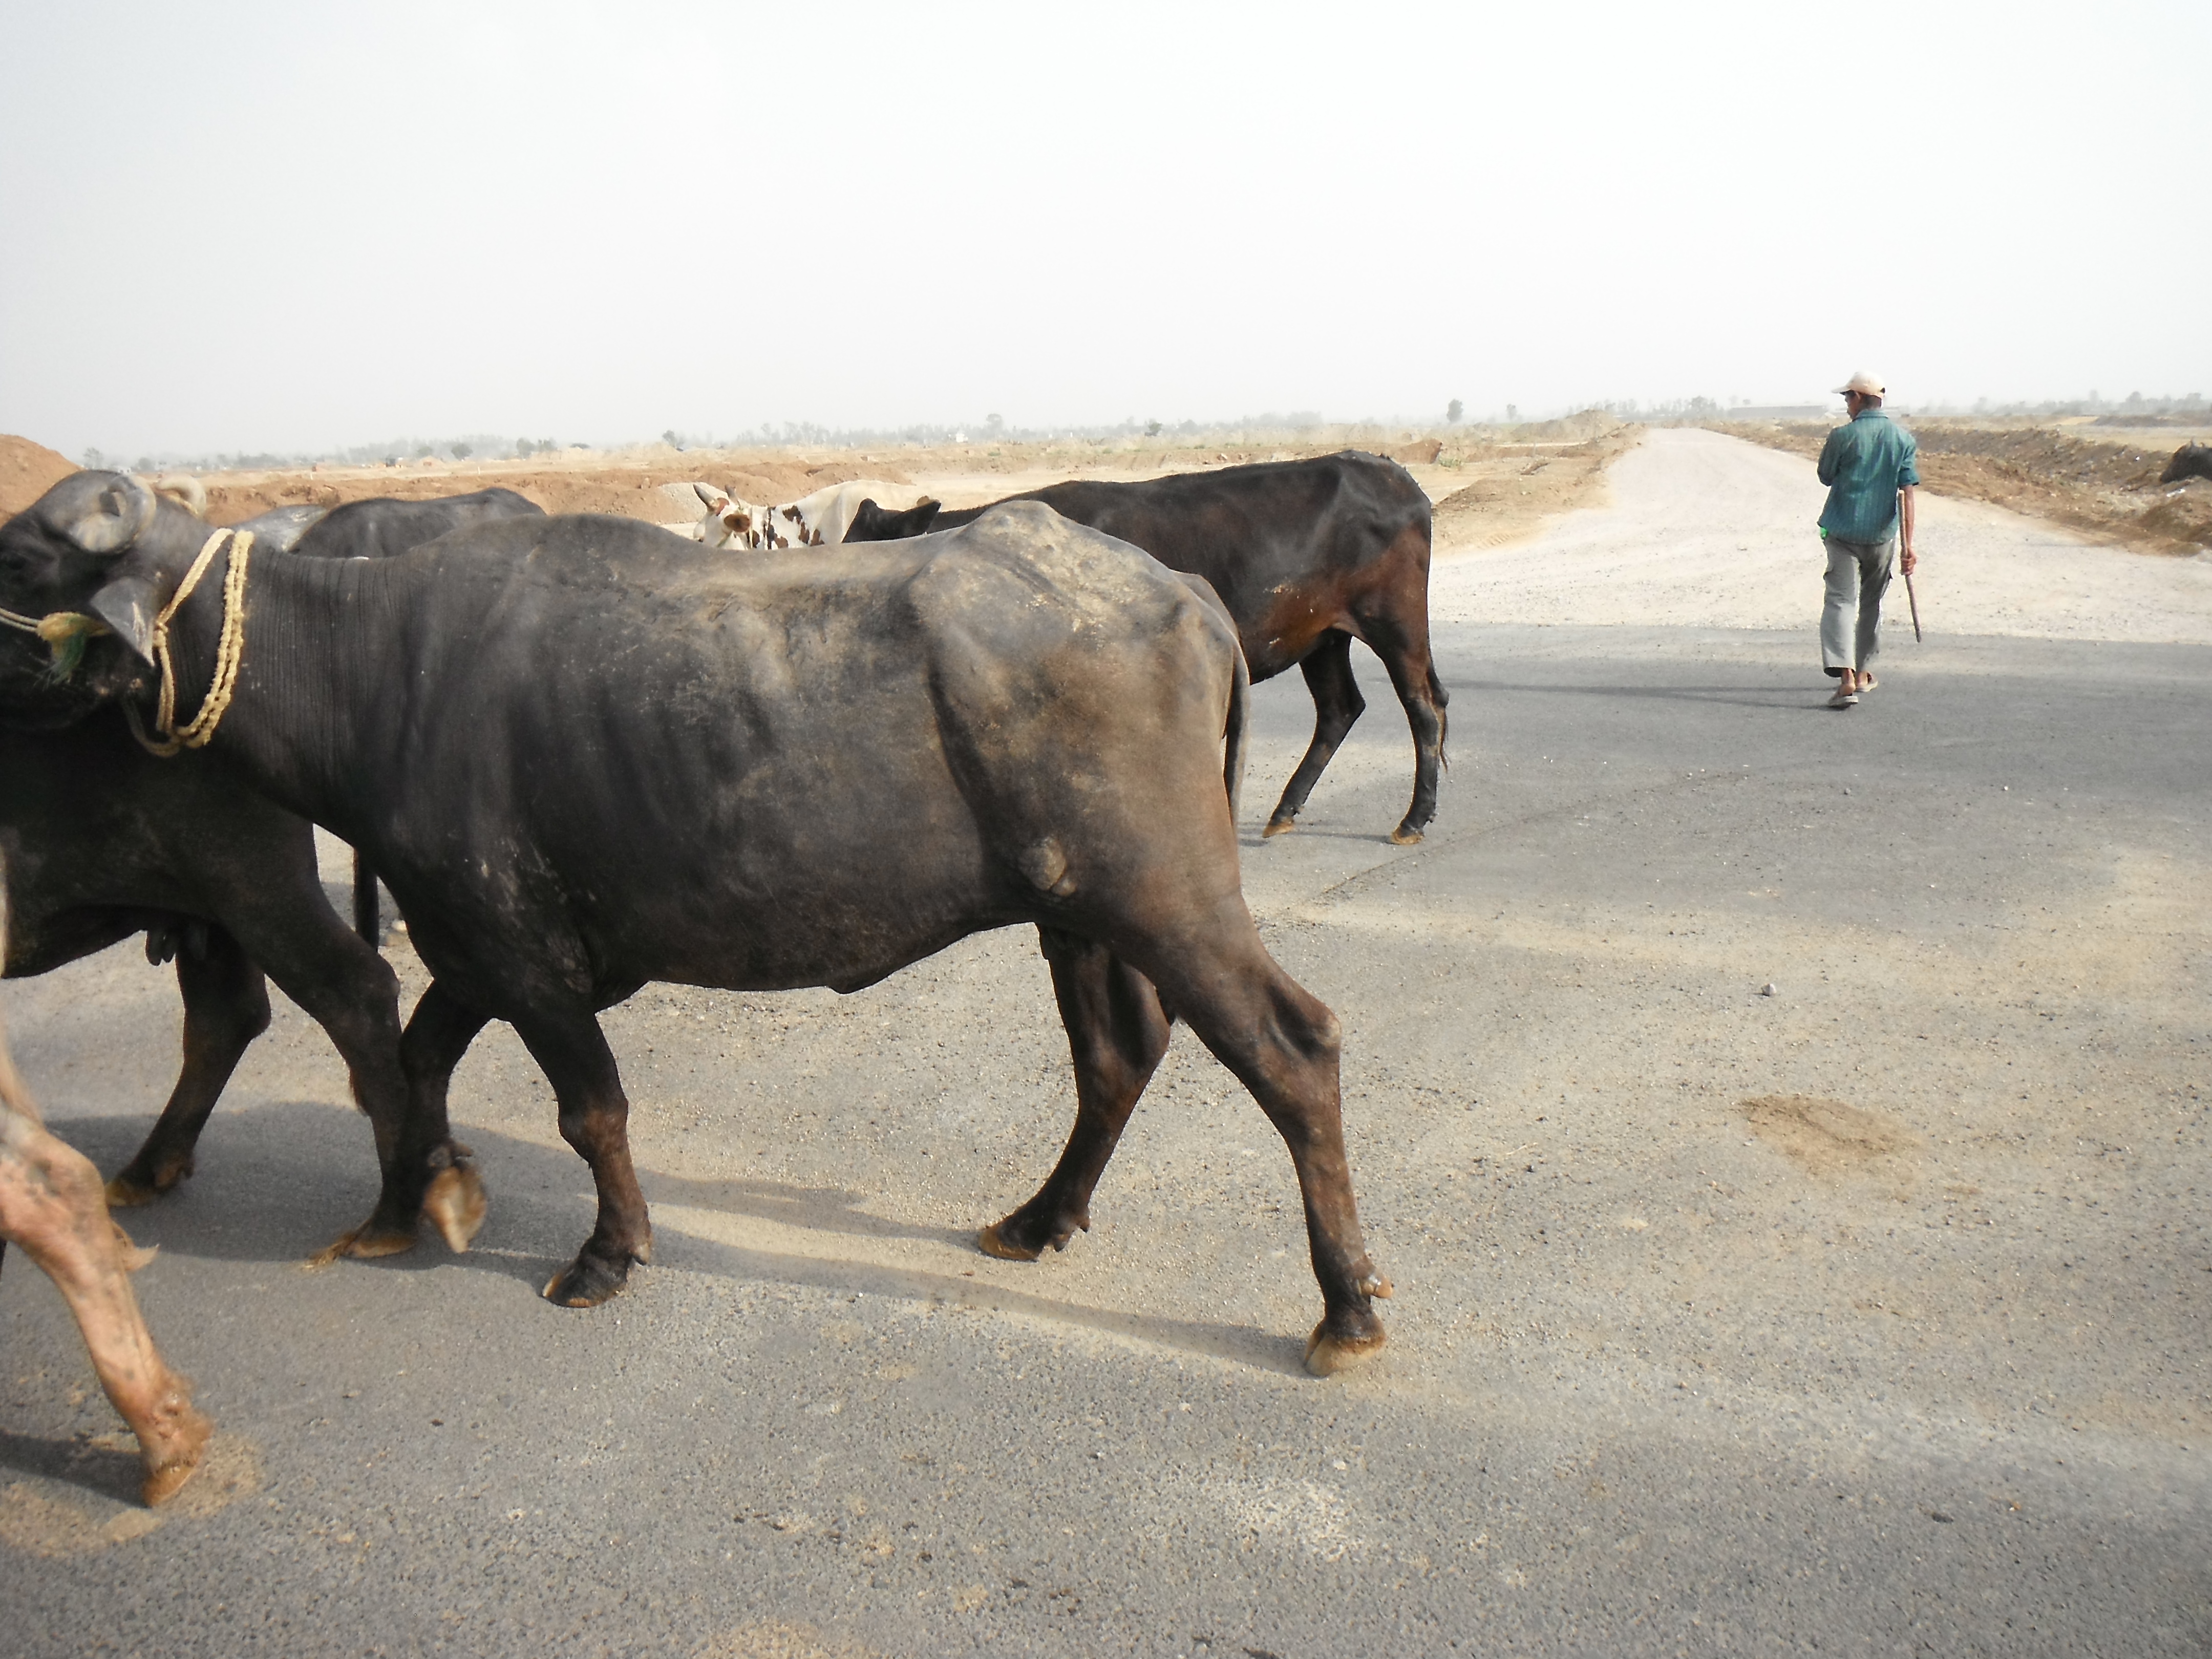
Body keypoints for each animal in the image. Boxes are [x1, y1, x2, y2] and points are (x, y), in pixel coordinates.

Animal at [0, 473, 1393, 1375]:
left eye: (19, 557)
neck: (377, 667)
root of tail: (1184, 597)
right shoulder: (473, 948)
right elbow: (412, 1056)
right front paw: (413, 1196)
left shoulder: (527, 962)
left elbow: (588, 1108)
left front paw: (605, 1251)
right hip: (1081, 916)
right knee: (1119, 1056)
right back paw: (1041, 1217)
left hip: (1169, 898)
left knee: (1294, 1047)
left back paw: (1343, 1307)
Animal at [843, 452, 1448, 843]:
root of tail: (1392, 472)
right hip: (1323, 634)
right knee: (1341, 708)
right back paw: (1285, 811)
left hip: (1395, 622)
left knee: (1423, 707)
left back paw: (1414, 820)